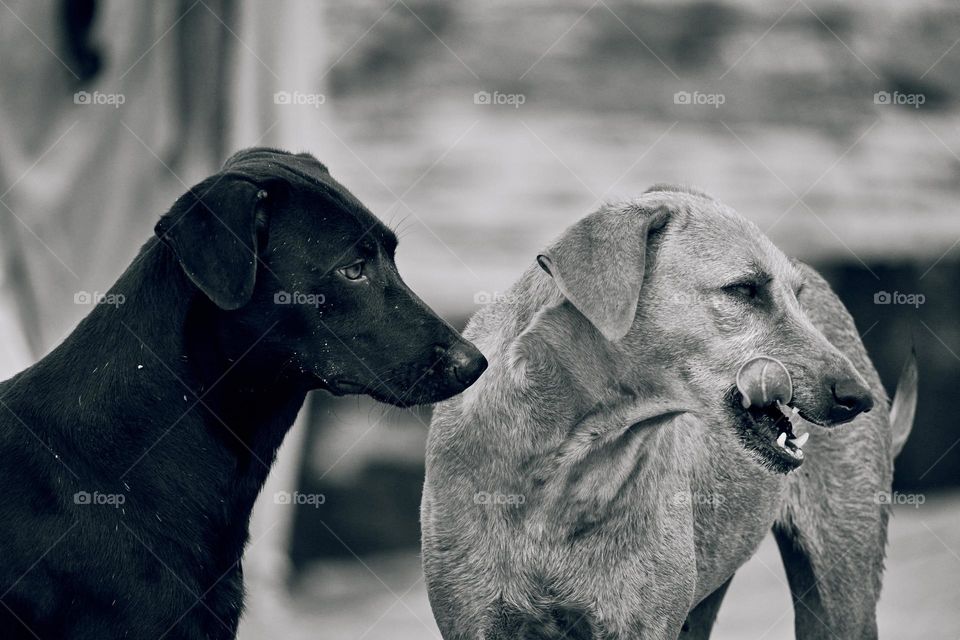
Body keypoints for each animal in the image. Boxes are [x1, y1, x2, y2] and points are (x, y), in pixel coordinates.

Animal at [422, 182, 916, 636]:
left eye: (799, 296)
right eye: (744, 289)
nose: (859, 397)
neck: (564, 468)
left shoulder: (643, 623)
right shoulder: (475, 618)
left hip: (839, 586)